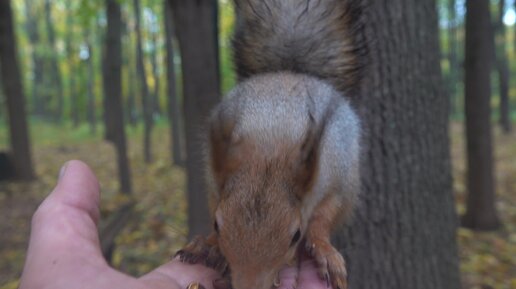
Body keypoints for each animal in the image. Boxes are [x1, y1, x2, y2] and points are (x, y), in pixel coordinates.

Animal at [175, 0, 364, 288]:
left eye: (296, 235)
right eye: (218, 224)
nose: (248, 284)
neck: (271, 146)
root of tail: (289, 72)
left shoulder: (337, 180)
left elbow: (323, 219)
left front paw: (323, 250)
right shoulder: (215, 181)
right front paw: (210, 243)